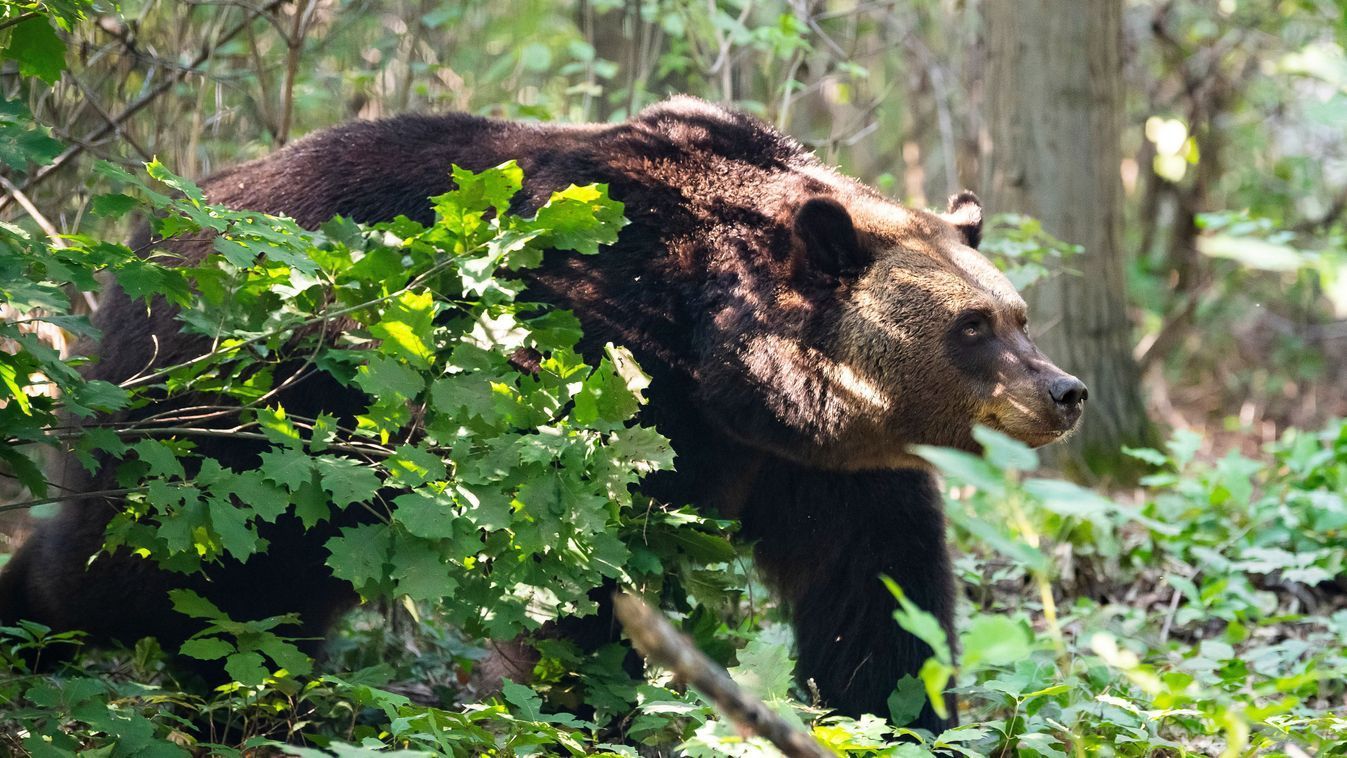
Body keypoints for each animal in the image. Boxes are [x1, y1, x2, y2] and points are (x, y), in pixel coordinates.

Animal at [0, 96, 1082, 737]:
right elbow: (581, 576)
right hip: (249, 408)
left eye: (1016, 311)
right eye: (973, 325)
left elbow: (873, 592)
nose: (1063, 391)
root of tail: (152, 236)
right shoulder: (599, 374)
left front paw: (895, 712)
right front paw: (577, 708)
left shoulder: (820, 463)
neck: (719, 355)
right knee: (162, 563)